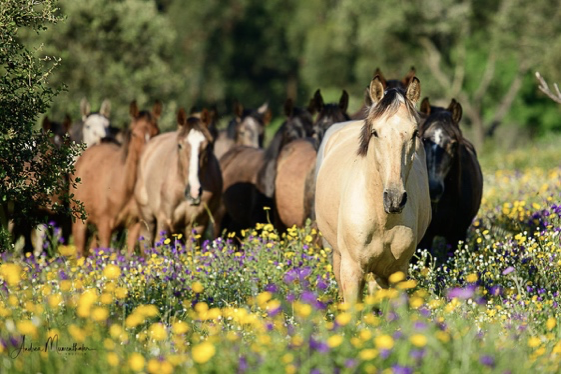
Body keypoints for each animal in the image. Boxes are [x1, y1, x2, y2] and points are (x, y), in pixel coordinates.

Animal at [70, 101, 160, 256]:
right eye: (134, 133)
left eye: (157, 132)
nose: (147, 157)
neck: (124, 186)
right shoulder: (105, 225)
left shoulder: (135, 225)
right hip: (79, 222)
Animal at [130, 108, 222, 248]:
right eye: (179, 145)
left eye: (208, 146)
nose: (194, 192)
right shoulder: (165, 221)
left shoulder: (198, 225)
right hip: (147, 219)